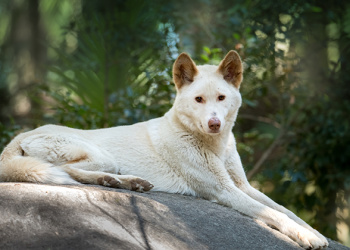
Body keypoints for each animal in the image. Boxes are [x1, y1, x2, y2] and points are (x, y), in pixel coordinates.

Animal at [0, 50, 328, 248]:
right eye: (198, 100)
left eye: (221, 98)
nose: (214, 123)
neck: (214, 145)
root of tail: (17, 138)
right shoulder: (224, 191)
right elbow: (274, 215)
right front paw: (307, 237)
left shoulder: (243, 186)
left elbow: (286, 210)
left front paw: (315, 232)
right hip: (100, 157)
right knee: (68, 171)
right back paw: (117, 181)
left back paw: (131, 183)